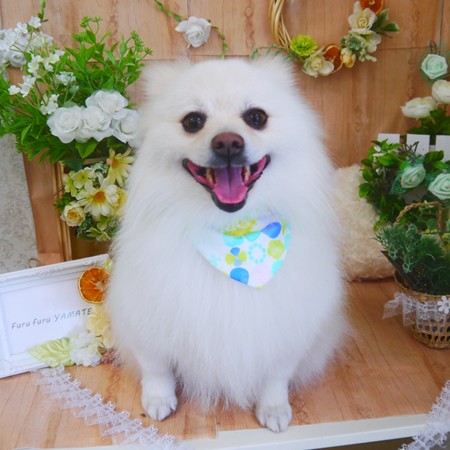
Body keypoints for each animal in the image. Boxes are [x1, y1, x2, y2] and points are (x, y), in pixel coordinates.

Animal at [107, 57, 346, 433]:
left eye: (256, 117)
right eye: (193, 121)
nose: (228, 143)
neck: (234, 234)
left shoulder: (289, 325)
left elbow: (276, 376)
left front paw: (273, 408)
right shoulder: (146, 316)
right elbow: (156, 368)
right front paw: (158, 399)